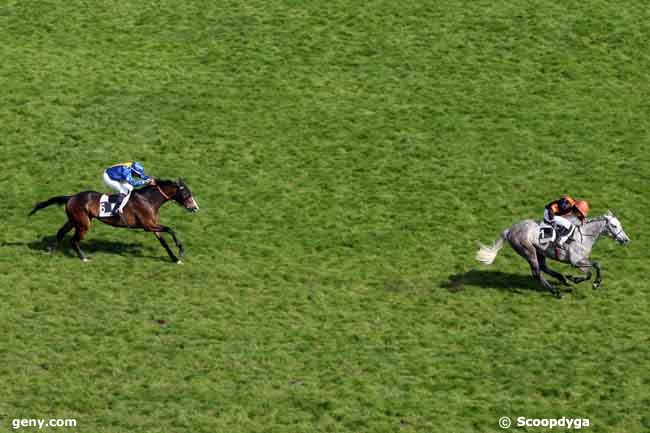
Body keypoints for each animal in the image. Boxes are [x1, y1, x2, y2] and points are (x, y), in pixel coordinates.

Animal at [27, 177, 199, 262]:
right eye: (186, 194)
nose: (195, 207)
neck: (148, 199)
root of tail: (71, 197)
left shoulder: (153, 225)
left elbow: (164, 241)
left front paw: (175, 258)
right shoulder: (148, 225)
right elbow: (171, 229)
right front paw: (181, 251)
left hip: (74, 220)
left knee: (61, 232)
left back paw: (51, 249)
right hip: (84, 224)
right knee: (73, 240)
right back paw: (84, 258)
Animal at [476, 210, 628, 296]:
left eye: (620, 224)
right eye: (614, 225)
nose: (626, 240)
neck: (583, 236)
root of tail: (510, 230)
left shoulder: (581, 262)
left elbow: (593, 269)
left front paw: (574, 279)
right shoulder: (576, 261)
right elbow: (595, 267)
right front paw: (592, 282)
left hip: (540, 252)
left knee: (544, 268)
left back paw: (563, 279)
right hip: (528, 251)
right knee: (537, 273)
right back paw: (556, 292)